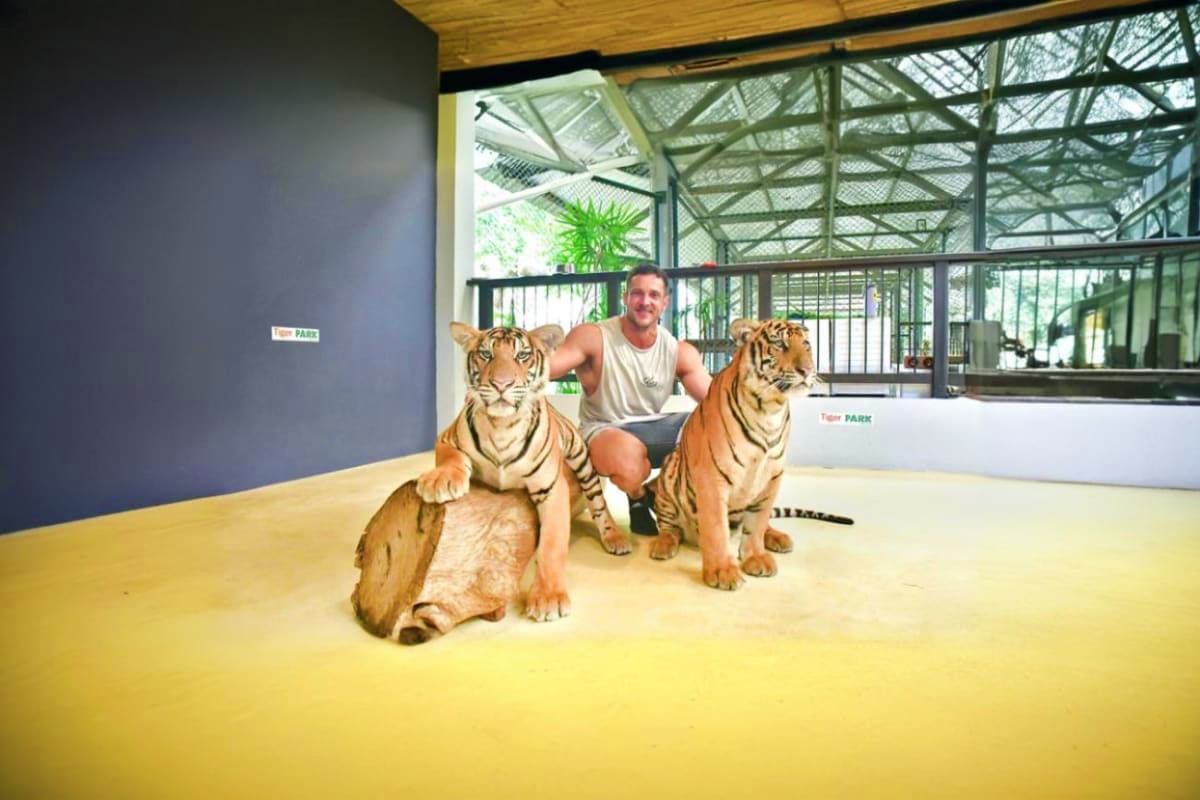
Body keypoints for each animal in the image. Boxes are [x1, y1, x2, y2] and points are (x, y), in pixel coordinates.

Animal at [416, 322, 631, 622]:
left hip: (582, 459)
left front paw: (549, 599)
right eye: (486, 354)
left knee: (599, 503)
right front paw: (439, 481)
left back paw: (615, 538)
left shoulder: (550, 488)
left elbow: (552, 544)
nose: (501, 384)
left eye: (521, 356)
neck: (502, 426)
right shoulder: (446, 438)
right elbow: (451, 458)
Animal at [647, 318, 852, 590]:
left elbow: (757, 523)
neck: (769, 410)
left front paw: (755, 558)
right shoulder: (712, 478)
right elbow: (716, 527)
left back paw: (778, 538)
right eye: (780, 344)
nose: (807, 370)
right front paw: (722, 571)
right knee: (669, 526)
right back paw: (663, 545)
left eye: (807, 345)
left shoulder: (771, 477)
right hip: (670, 474)